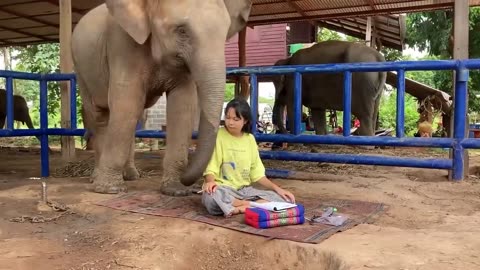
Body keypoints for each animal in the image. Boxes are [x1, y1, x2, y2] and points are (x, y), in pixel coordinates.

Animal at [72, 0, 251, 194]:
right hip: (81, 69)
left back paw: (131, 176)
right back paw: (98, 180)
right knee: (100, 115)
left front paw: (176, 190)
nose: (194, 184)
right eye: (182, 30)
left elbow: (182, 105)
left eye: (226, 33)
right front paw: (110, 189)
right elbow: (127, 102)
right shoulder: (121, 44)